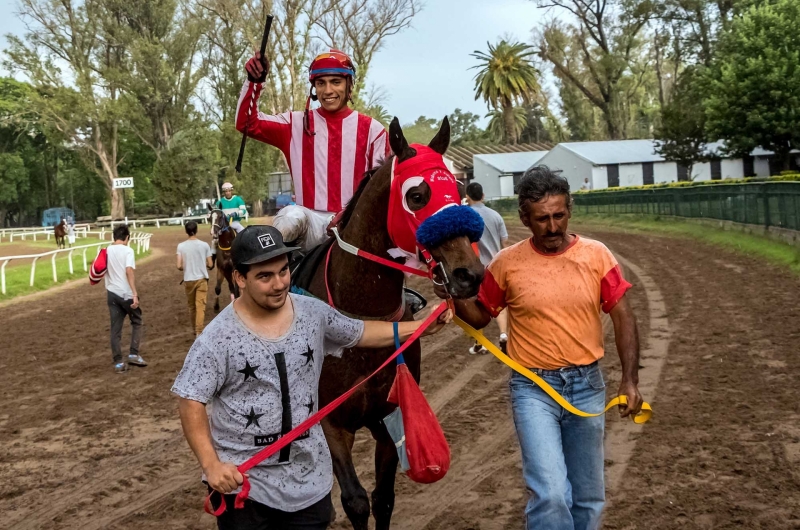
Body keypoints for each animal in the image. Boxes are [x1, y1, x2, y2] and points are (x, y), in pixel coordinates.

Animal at [304, 117, 484, 524]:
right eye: (416, 195)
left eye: (458, 190)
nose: (470, 275)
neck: (360, 322)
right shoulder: (331, 422)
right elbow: (355, 501)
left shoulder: (389, 416)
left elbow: (383, 497)